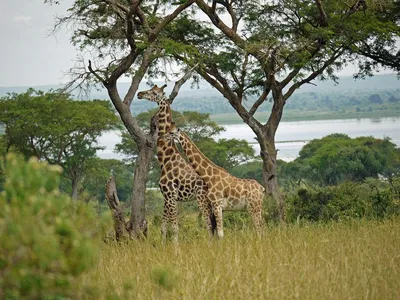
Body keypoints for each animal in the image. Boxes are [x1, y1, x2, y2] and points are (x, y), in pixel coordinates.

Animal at [138, 84, 216, 241]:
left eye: (154, 92)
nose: (139, 94)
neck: (166, 158)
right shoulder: (166, 196)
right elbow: (163, 227)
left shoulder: (171, 194)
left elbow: (174, 228)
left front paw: (175, 247)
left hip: (202, 198)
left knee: (209, 225)